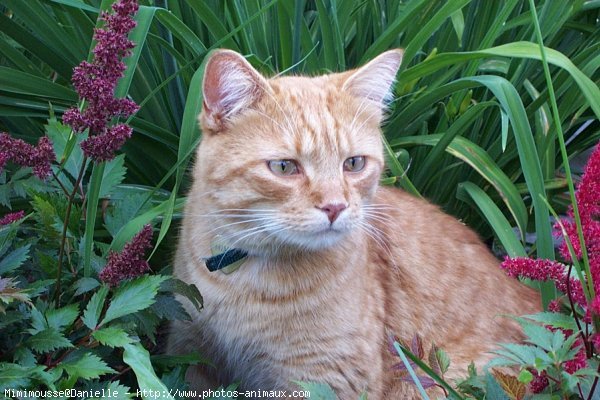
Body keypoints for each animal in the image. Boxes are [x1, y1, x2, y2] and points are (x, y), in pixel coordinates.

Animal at [168, 48, 540, 398]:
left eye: (354, 164)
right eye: (285, 167)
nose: (335, 206)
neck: (242, 277)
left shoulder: (323, 379)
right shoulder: (190, 352)